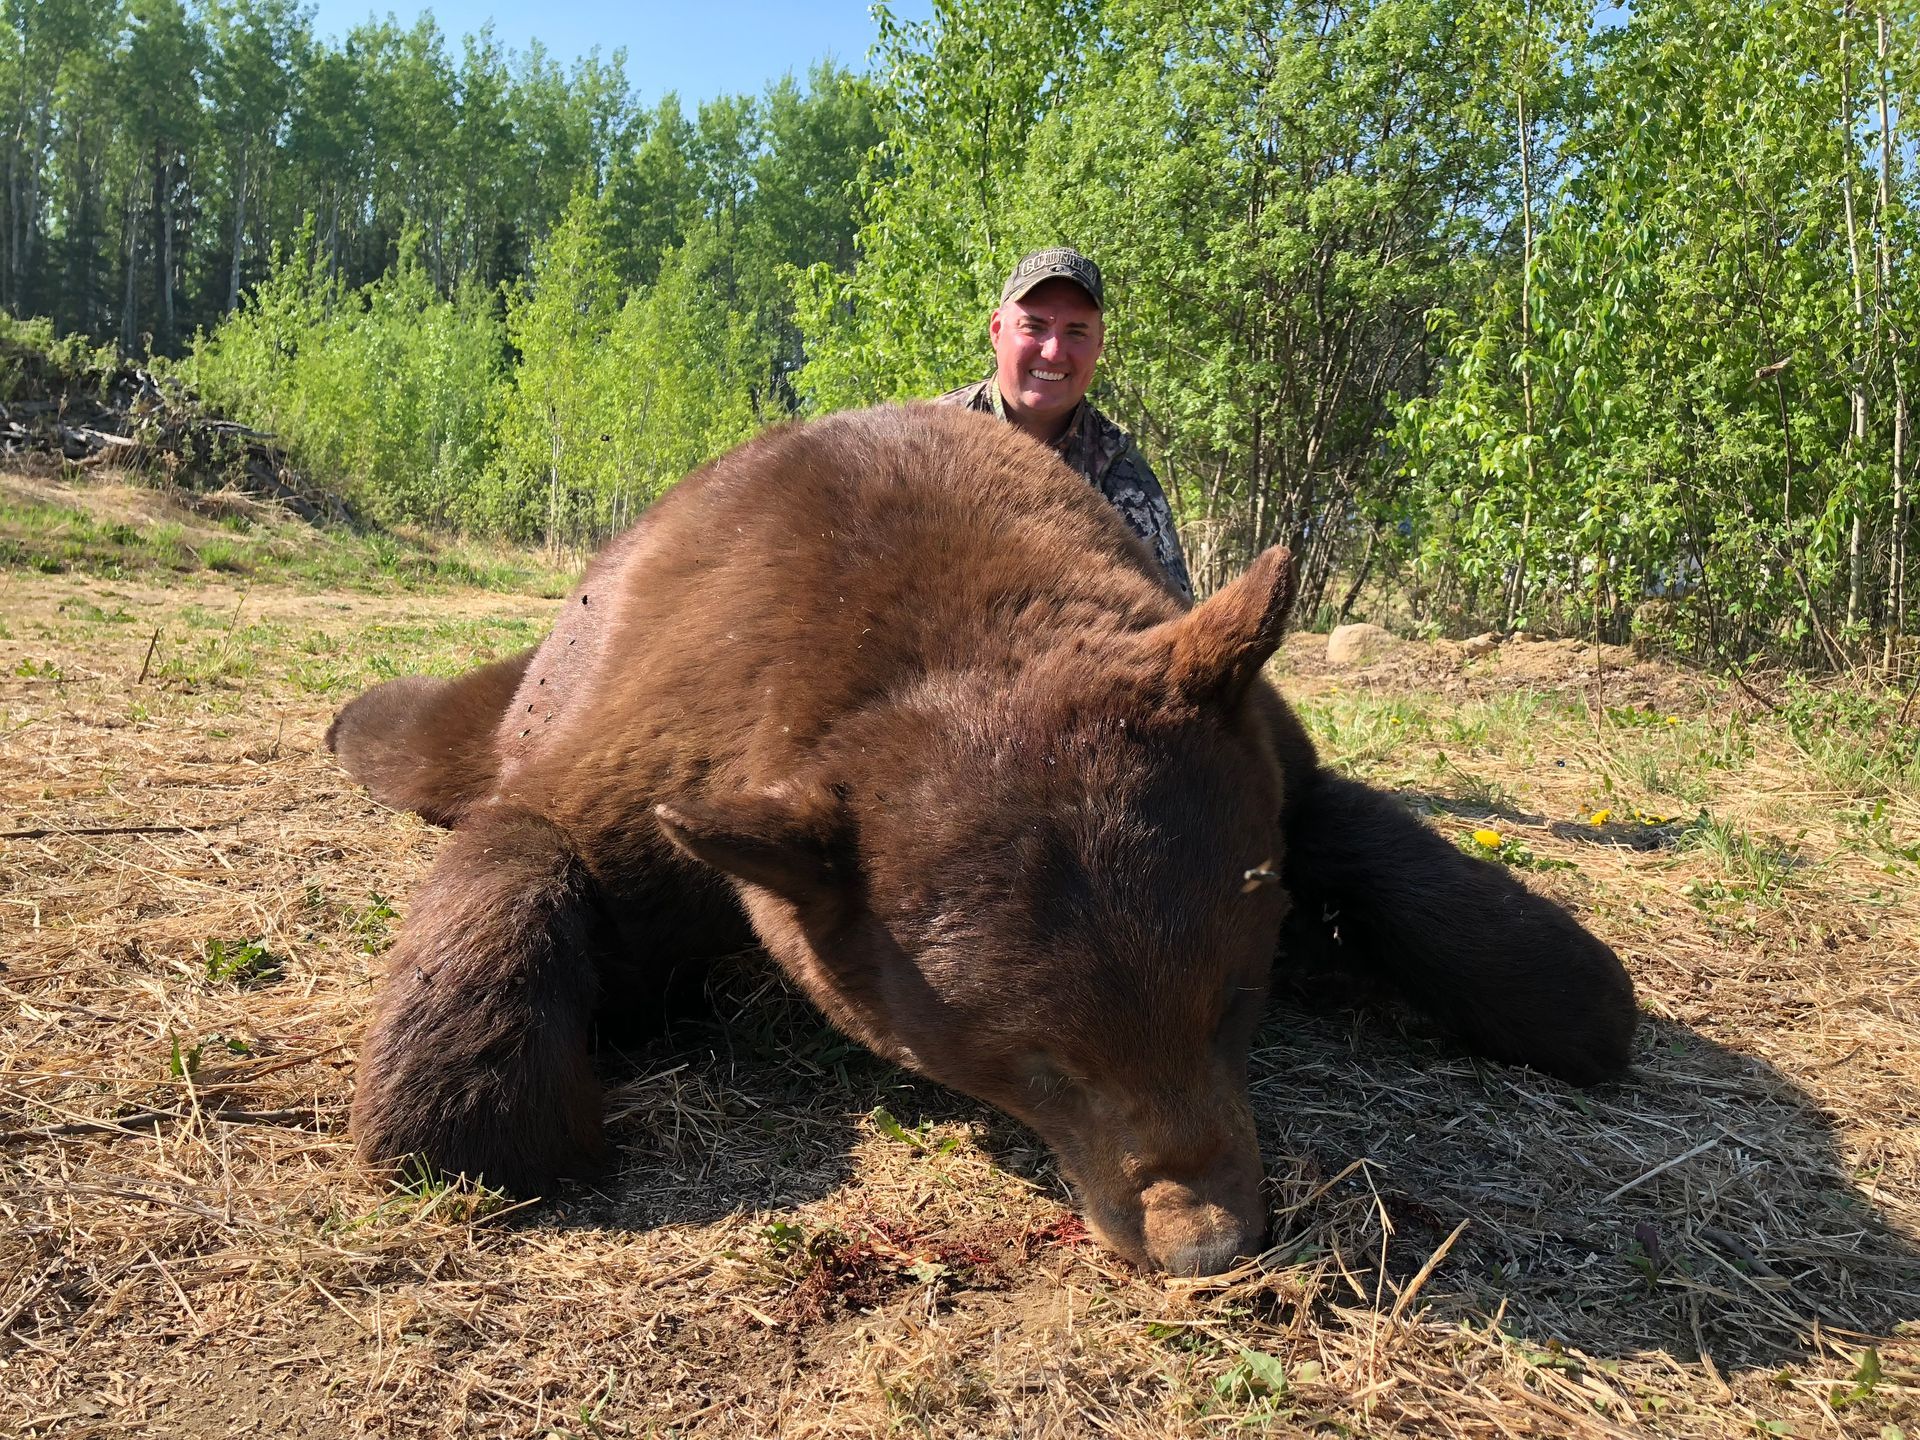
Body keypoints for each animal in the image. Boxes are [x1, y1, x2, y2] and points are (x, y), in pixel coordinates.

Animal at [328, 403, 1636, 1276]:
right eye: (1039, 1063)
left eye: (1233, 1000)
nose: (1204, 1240)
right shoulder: (655, 742)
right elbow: (528, 851)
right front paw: (476, 1120)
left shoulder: (1255, 739)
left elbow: (1361, 836)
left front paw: (1568, 992)